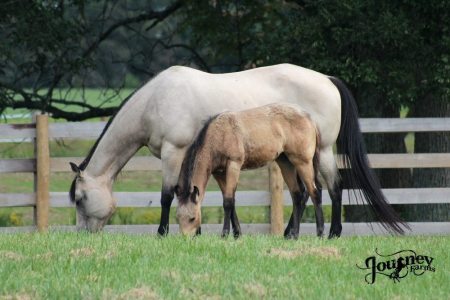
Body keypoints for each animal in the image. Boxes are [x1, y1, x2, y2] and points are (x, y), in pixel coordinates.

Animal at [175, 103, 324, 239]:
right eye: (178, 218)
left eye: (192, 218)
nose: (185, 239)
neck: (219, 134)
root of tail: (309, 118)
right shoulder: (219, 173)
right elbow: (231, 201)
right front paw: (237, 234)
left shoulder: (234, 165)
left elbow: (228, 202)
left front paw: (225, 234)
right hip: (286, 163)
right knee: (298, 194)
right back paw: (293, 234)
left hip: (302, 162)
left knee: (314, 192)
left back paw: (320, 233)